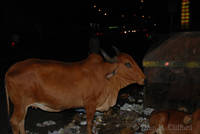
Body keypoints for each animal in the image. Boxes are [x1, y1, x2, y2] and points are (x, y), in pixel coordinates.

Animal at [4, 49, 145, 134]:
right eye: (127, 64)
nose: (143, 78)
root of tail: (11, 69)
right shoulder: (90, 104)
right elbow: (89, 123)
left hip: (23, 107)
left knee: (21, 122)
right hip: (20, 105)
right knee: (15, 122)